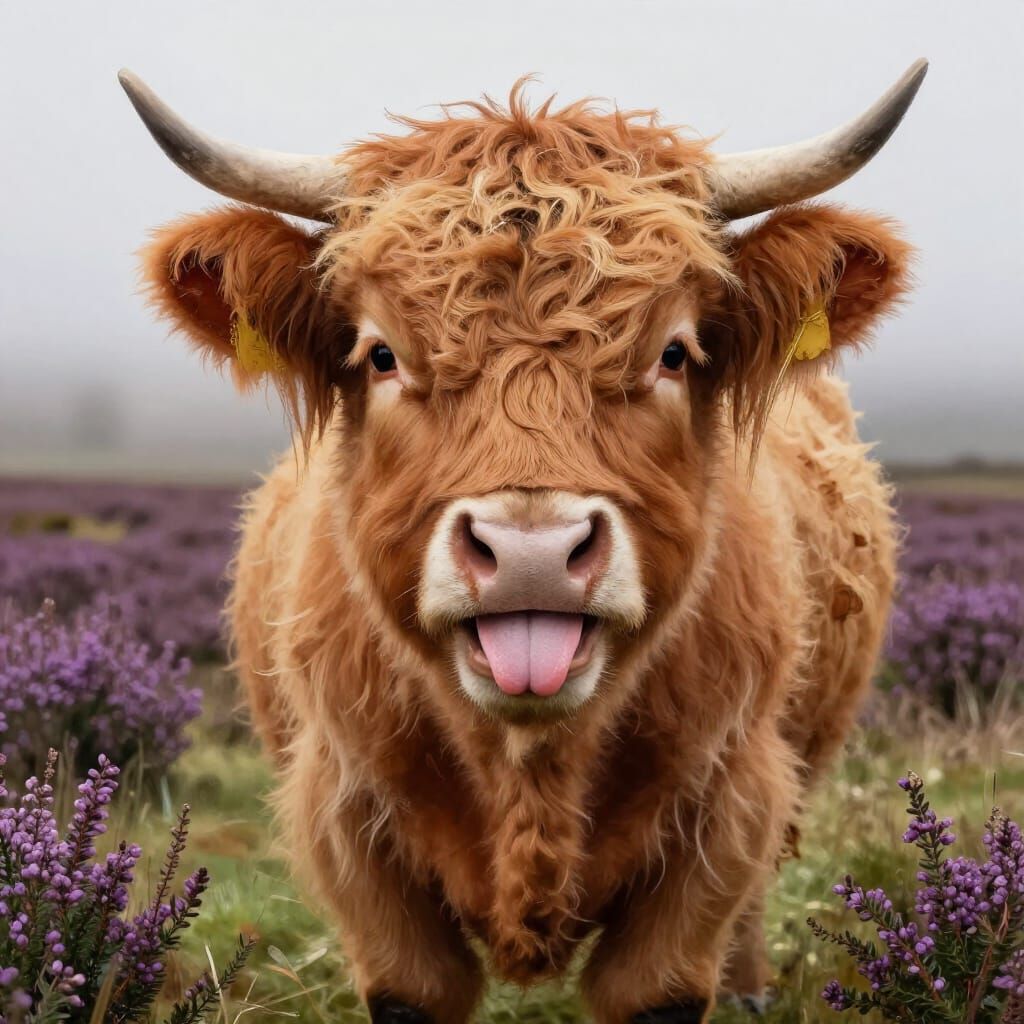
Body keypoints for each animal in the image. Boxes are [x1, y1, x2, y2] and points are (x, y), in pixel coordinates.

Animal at [121, 60, 926, 1023]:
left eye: (674, 353)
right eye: (381, 354)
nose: (531, 552)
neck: (529, 772)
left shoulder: (727, 813)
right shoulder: (350, 831)